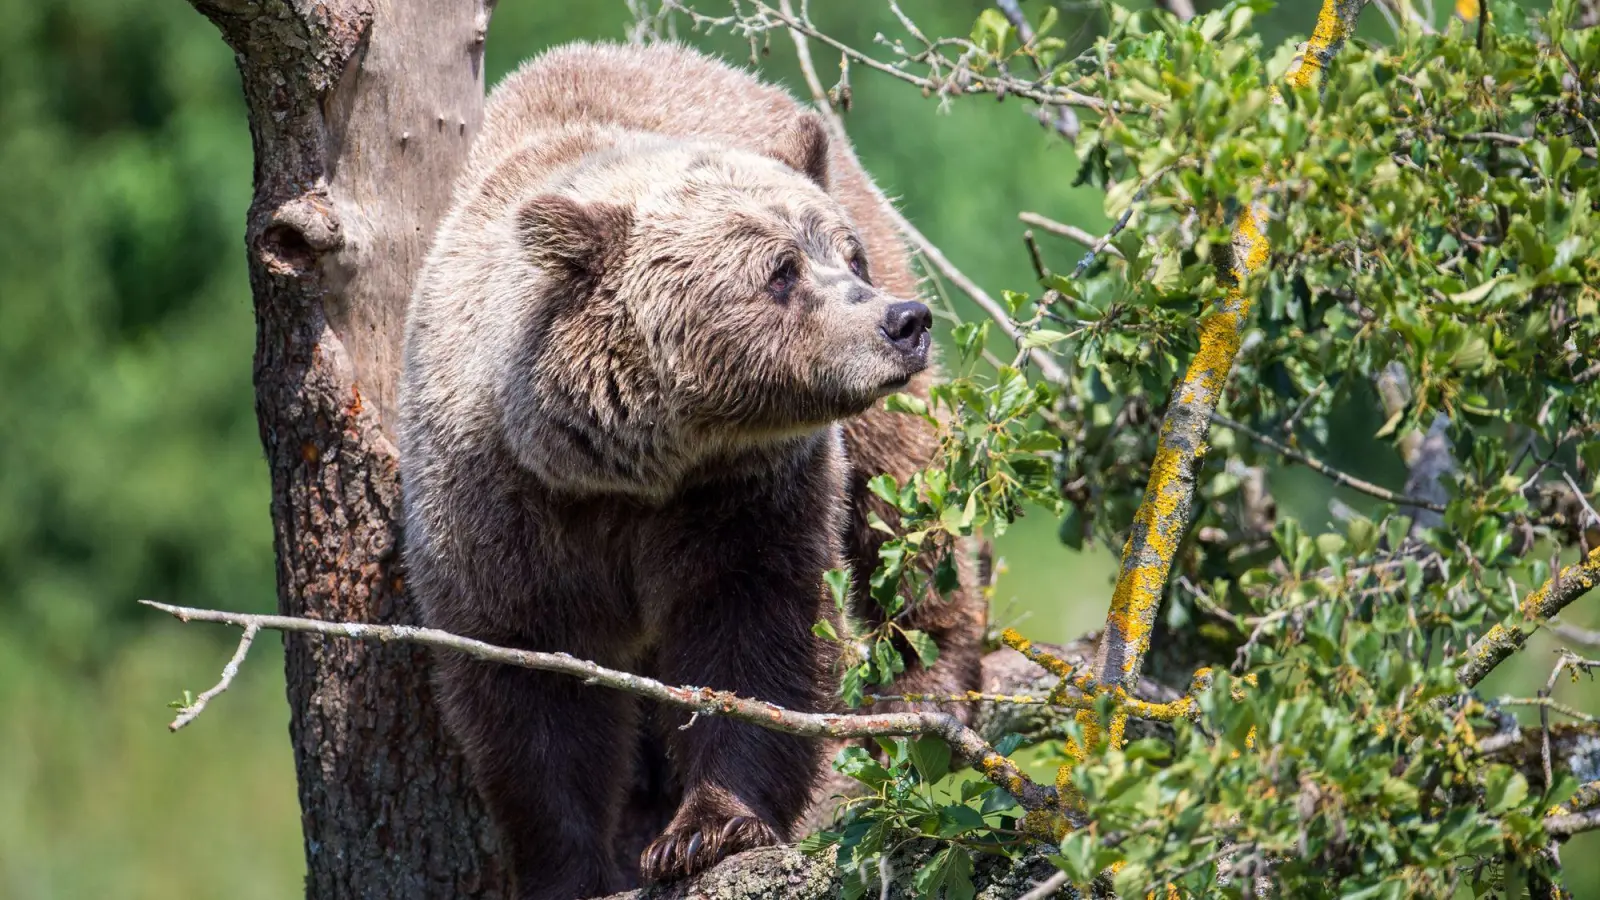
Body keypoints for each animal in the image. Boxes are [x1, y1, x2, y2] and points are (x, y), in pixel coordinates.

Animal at [400, 40, 985, 896]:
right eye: (781, 270)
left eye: (846, 255)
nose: (901, 322)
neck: (633, 464)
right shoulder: (501, 509)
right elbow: (529, 689)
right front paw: (576, 865)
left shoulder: (744, 494)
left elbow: (757, 634)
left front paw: (709, 828)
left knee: (902, 500)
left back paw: (927, 680)